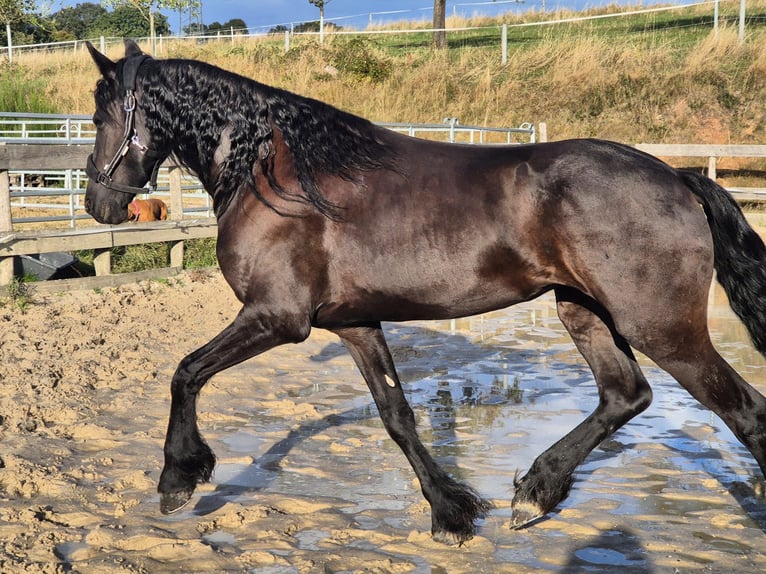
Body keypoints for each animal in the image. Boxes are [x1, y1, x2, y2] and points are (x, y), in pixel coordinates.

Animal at [84, 39, 766, 544]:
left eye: (99, 116)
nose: (98, 203)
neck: (279, 176)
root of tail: (675, 176)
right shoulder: (353, 324)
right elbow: (398, 416)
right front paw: (451, 511)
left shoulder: (277, 317)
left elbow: (186, 372)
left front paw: (178, 479)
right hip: (584, 312)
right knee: (626, 395)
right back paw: (535, 493)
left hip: (662, 327)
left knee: (743, 413)